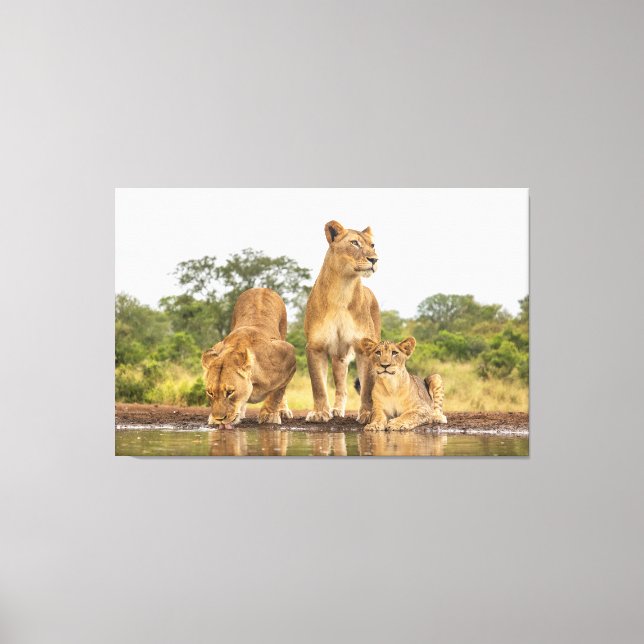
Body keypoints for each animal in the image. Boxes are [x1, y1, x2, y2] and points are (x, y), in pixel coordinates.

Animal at [201, 288, 296, 428]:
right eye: (210, 393)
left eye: (230, 392)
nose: (219, 419)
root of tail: (261, 288)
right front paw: (213, 418)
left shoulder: (289, 354)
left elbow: (278, 391)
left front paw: (269, 416)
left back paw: (283, 410)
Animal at [304, 220, 381, 423]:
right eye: (354, 243)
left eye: (372, 245)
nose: (374, 260)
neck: (342, 288)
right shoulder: (315, 346)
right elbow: (318, 385)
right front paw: (320, 413)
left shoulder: (364, 347)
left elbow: (367, 387)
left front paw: (367, 414)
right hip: (339, 357)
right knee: (341, 388)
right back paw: (336, 410)